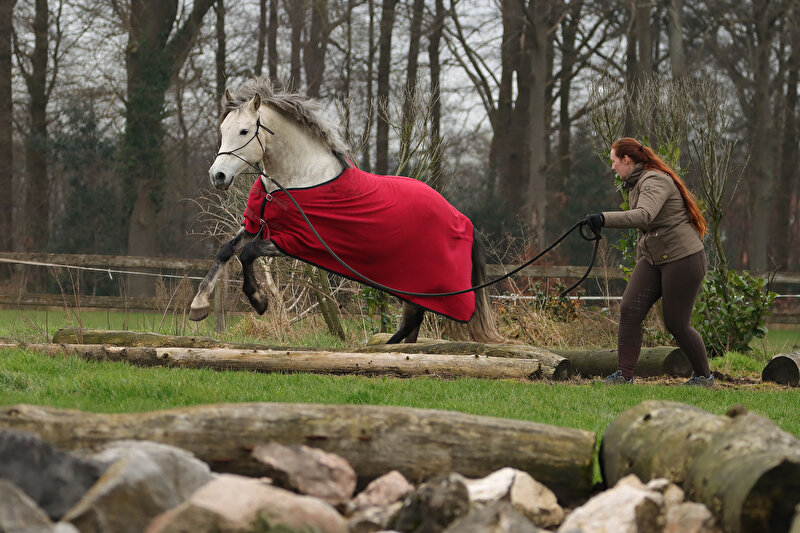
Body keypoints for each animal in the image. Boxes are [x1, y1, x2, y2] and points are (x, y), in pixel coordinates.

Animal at [189, 77, 506, 344]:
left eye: (244, 131)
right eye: (223, 130)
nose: (217, 176)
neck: (297, 180)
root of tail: (461, 218)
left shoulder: (296, 240)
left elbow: (247, 253)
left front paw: (258, 301)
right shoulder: (257, 225)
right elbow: (226, 250)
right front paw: (198, 306)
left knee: (412, 318)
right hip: (410, 284)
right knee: (413, 320)